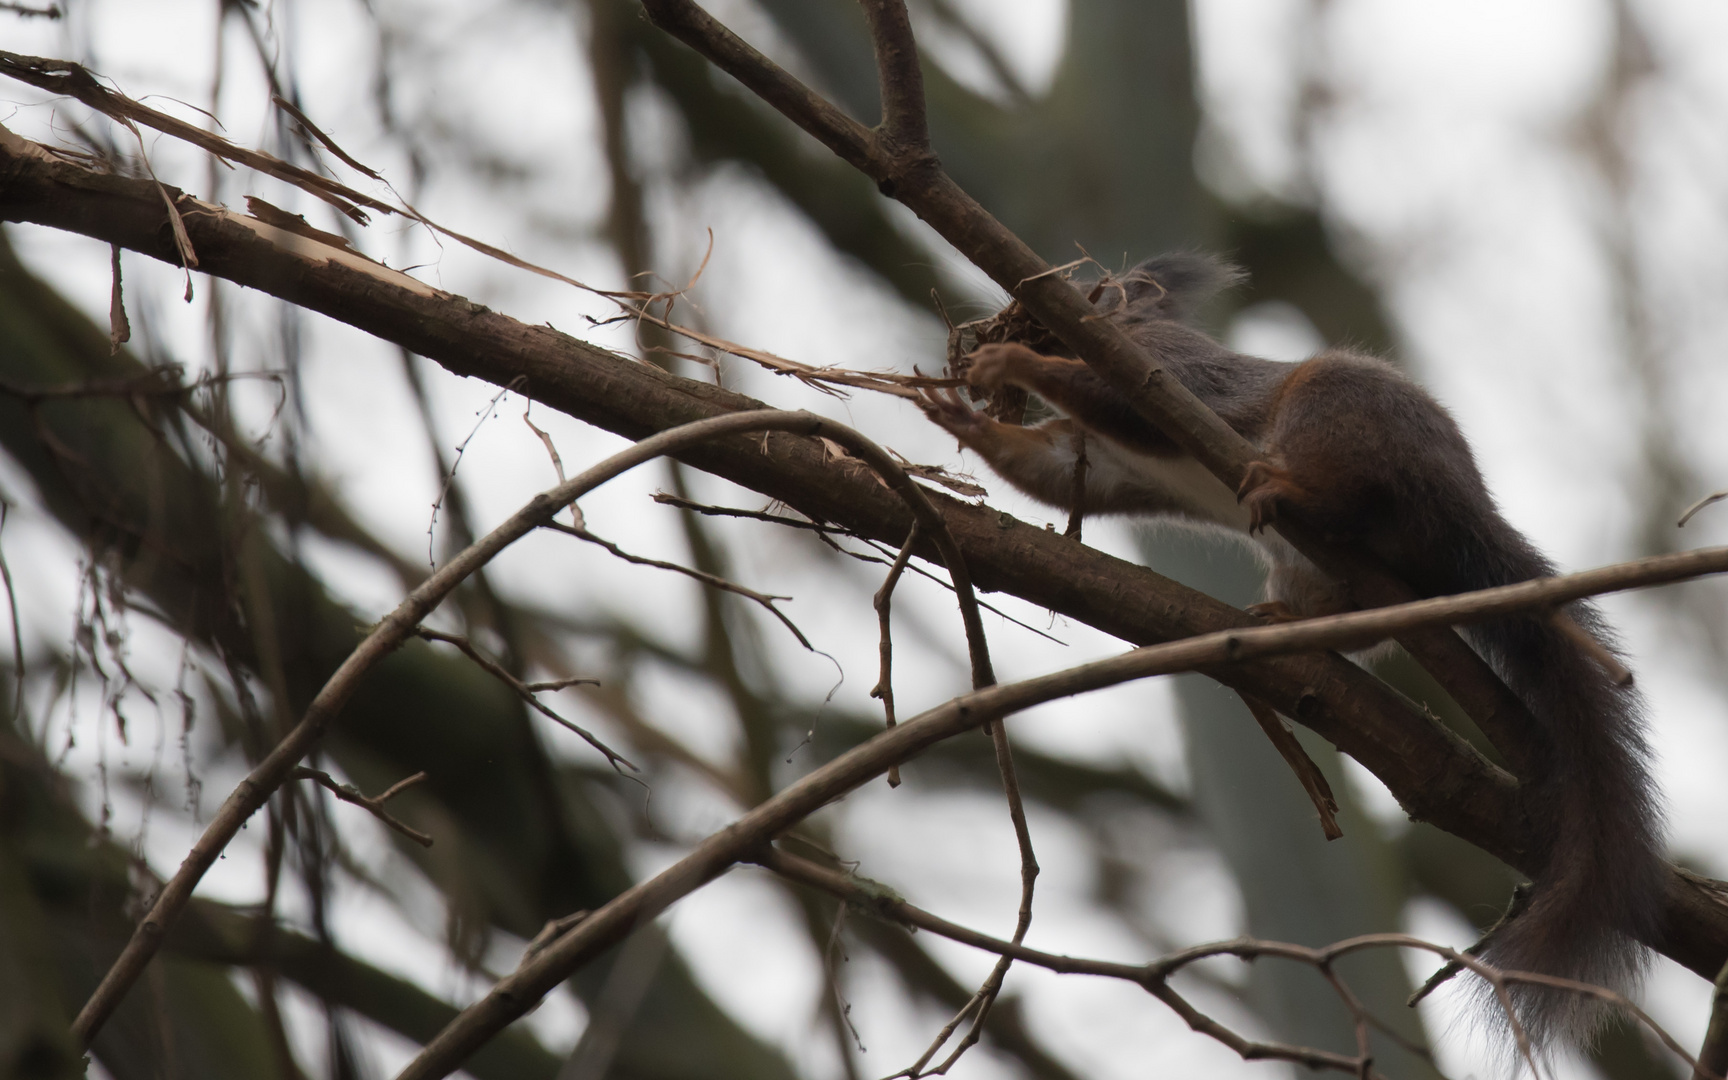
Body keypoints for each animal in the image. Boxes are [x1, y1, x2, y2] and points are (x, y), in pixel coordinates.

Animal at [926, 252, 1665, 1043]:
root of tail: (1463, 509)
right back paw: (1285, 617)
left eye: (1055, 304)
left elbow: (1115, 401)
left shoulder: (1160, 374)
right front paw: (958, 415)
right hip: (1323, 563)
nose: (973, 343)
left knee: (1353, 490)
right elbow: (1053, 466)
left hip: (1336, 413)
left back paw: (1295, 494)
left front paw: (1014, 364)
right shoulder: (1097, 457)